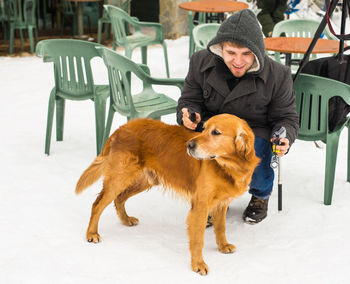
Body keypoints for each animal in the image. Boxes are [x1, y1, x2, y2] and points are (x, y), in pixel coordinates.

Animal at [76, 113, 260, 276]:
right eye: (204, 128)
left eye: (216, 132)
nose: (189, 145)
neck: (228, 166)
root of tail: (121, 128)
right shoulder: (200, 205)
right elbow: (198, 239)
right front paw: (198, 264)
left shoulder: (222, 203)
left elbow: (221, 227)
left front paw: (222, 246)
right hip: (120, 178)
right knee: (97, 204)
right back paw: (91, 234)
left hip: (145, 180)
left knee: (119, 198)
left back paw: (126, 220)